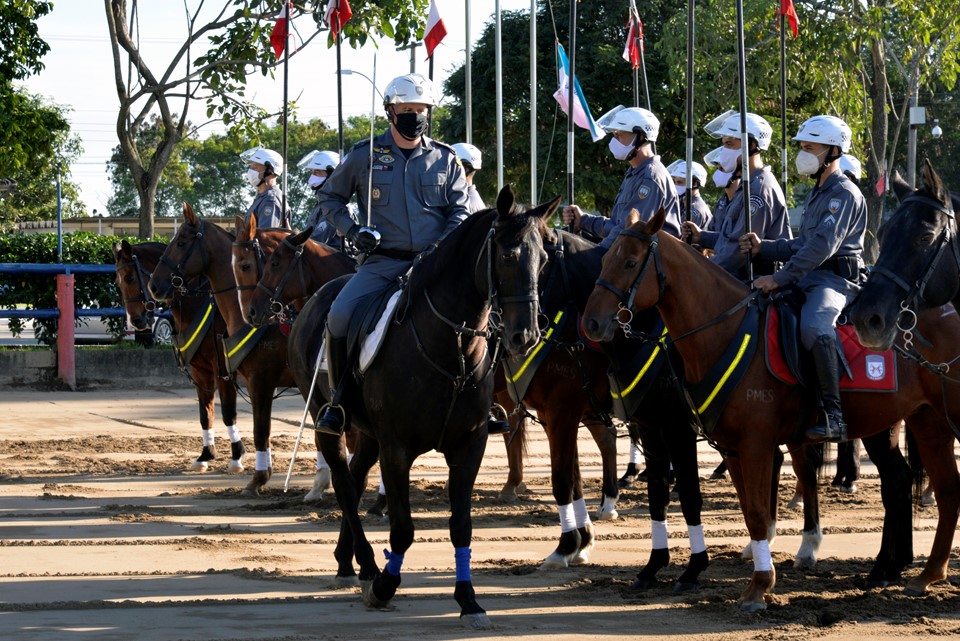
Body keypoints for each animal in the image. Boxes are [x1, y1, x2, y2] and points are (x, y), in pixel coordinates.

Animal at [112, 242, 244, 472]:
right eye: (118, 281)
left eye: (129, 277)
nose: (136, 321)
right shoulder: (201, 371)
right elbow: (205, 413)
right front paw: (206, 455)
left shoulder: (224, 372)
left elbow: (228, 413)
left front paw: (236, 457)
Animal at [288, 188, 552, 628]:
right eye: (508, 255)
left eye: (544, 258)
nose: (525, 335)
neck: (452, 347)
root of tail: (315, 300)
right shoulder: (398, 450)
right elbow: (403, 529)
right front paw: (385, 586)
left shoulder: (469, 447)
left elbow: (461, 526)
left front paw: (468, 599)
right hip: (329, 420)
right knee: (344, 484)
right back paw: (367, 567)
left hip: (369, 434)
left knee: (355, 478)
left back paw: (348, 562)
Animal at [576, 209, 960, 608]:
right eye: (604, 260)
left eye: (630, 262)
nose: (592, 322)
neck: (724, 330)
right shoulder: (727, 447)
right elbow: (748, 511)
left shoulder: (748, 444)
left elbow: (757, 511)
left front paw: (758, 585)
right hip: (910, 423)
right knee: (912, 483)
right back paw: (893, 569)